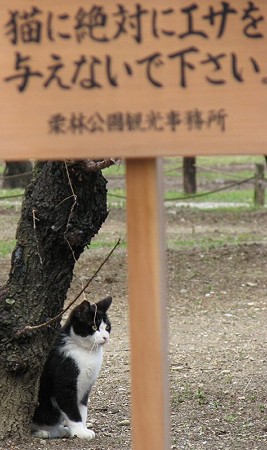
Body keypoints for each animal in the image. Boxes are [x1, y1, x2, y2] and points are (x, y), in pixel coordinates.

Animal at [31, 296, 112, 440]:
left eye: (107, 327)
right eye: (94, 326)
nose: (105, 337)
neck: (86, 352)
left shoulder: (86, 386)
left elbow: (82, 410)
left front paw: (83, 428)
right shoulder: (64, 380)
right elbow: (71, 409)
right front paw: (80, 432)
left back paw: (60, 430)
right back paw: (42, 432)